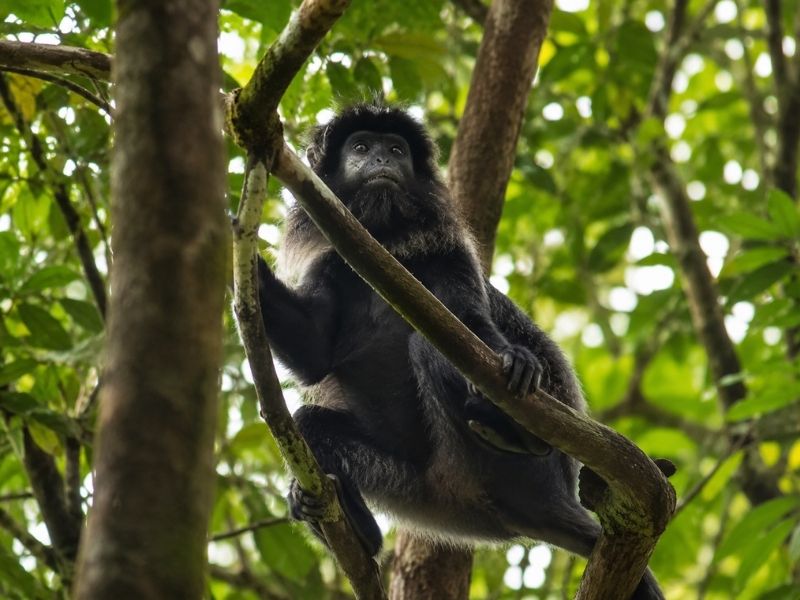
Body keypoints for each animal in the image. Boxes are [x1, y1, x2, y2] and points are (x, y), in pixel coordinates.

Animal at [257, 102, 663, 599]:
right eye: (361, 147)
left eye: (396, 150)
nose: (382, 160)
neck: (385, 246)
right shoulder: (333, 263)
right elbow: (313, 353)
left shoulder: (447, 250)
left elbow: (470, 320)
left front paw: (518, 359)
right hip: (423, 492)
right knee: (310, 422)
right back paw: (356, 526)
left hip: (519, 471)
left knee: (433, 347)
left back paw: (512, 431)